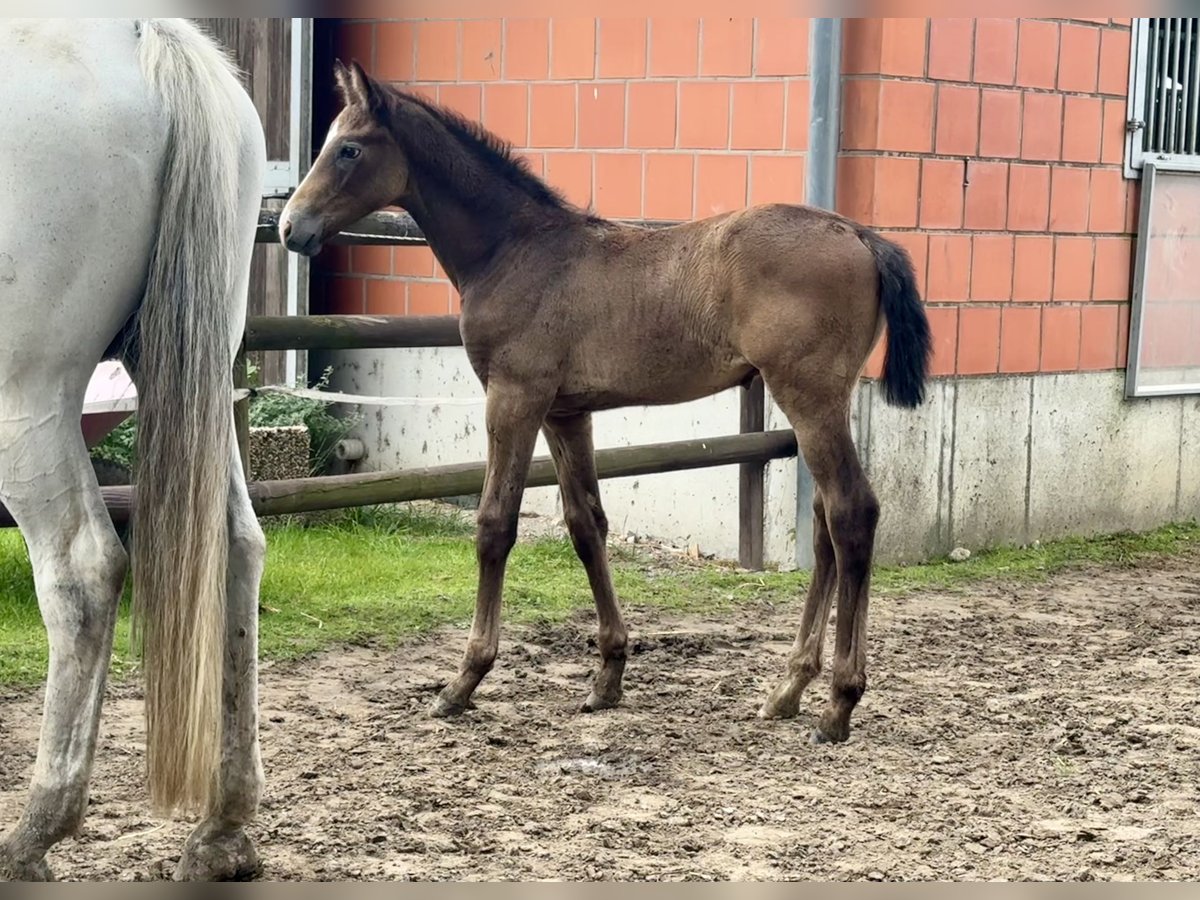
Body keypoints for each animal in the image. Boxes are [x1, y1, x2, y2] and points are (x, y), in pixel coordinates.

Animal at [280, 61, 936, 739]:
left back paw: (838, 703)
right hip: (819, 399)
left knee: (851, 513)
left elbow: (495, 525)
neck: (515, 250)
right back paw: (788, 689)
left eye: (349, 148)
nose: (290, 228)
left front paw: (463, 681)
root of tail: (858, 232)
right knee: (826, 520)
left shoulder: (514, 399)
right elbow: (586, 524)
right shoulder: (566, 412)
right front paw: (608, 676)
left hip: (808, 394)